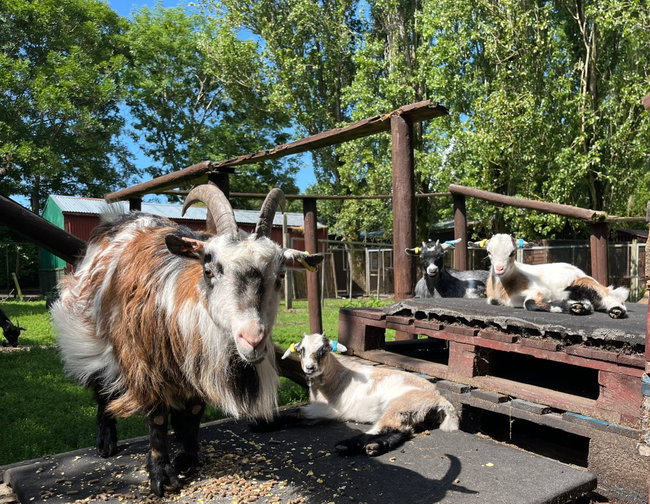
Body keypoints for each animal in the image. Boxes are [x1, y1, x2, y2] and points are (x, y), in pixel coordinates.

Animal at [50, 185, 323, 496]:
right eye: (209, 270)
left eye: (280, 275)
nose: (252, 339)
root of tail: (115, 219)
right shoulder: (145, 363)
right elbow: (157, 417)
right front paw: (161, 476)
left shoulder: (195, 366)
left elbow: (193, 412)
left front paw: (188, 457)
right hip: (87, 338)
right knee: (101, 387)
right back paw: (106, 442)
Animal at [272, 333, 459, 456]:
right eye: (301, 350)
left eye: (323, 350)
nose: (310, 368)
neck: (335, 376)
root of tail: (439, 398)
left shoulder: (330, 410)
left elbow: (296, 412)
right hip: (409, 414)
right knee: (401, 430)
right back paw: (376, 447)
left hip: (400, 406)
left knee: (380, 428)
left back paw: (347, 445)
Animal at [484, 233, 628, 318]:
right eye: (489, 252)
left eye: (512, 252)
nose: (499, 269)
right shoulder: (493, 299)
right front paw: (580, 307)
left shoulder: (541, 290)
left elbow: (529, 303)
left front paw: (569, 307)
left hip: (585, 282)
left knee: (609, 296)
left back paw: (616, 311)